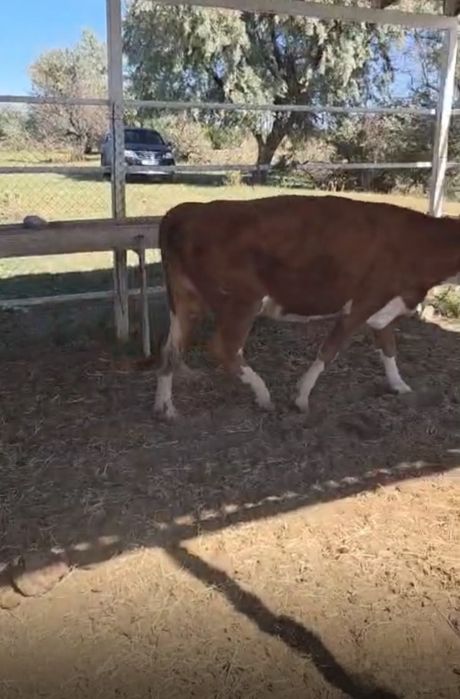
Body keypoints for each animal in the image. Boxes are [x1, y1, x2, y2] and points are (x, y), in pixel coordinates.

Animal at [154, 194, 460, 420]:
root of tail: (187, 210)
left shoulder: (385, 309)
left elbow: (389, 349)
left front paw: (400, 385)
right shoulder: (362, 303)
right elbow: (329, 351)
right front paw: (301, 397)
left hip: (184, 300)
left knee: (171, 349)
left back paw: (165, 407)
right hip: (241, 300)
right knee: (222, 349)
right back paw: (263, 395)